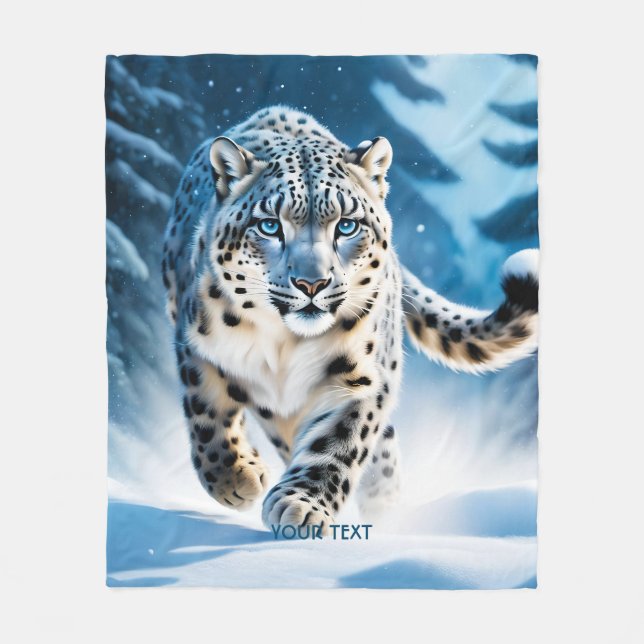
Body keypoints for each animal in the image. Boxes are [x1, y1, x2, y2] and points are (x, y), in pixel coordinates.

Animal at [162, 105, 539, 534]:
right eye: (270, 225)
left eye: (346, 225)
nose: (311, 282)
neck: (285, 343)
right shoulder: (196, 345)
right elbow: (206, 414)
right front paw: (234, 478)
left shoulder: (363, 375)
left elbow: (342, 438)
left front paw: (301, 505)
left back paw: (384, 503)